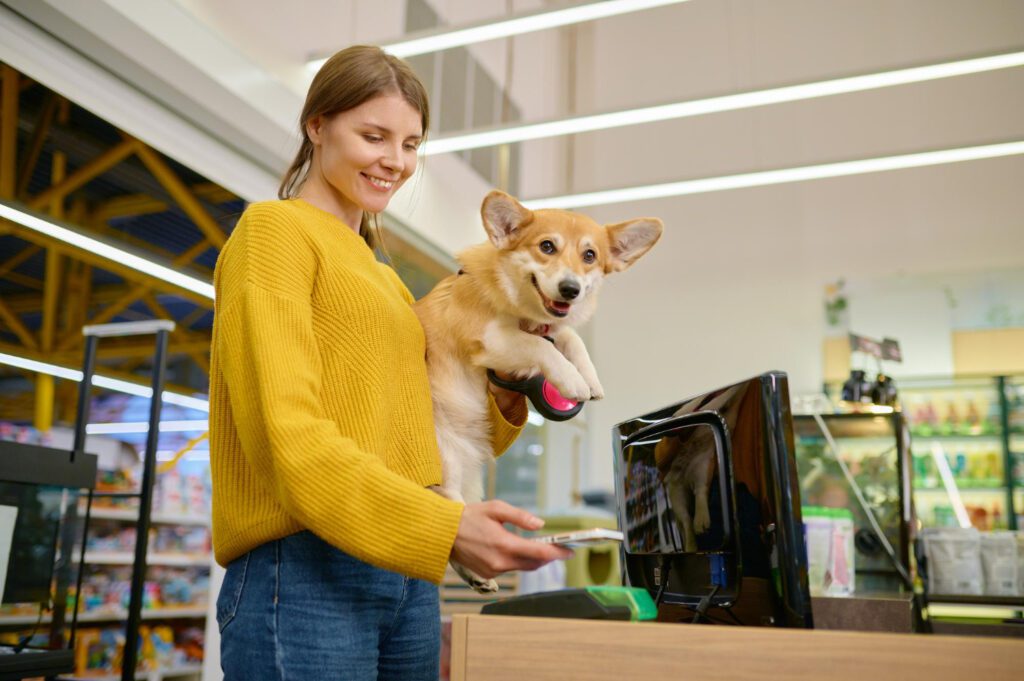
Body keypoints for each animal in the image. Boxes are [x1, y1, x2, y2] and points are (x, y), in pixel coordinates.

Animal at [413, 189, 663, 589]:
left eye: (590, 256)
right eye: (547, 247)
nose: (570, 289)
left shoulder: (549, 329)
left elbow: (570, 335)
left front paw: (589, 377)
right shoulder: (491, 338)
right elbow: (540, 347)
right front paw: (572, 381)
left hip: (471, 478)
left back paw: (476, 577)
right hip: (445, 459)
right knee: (450, 512)